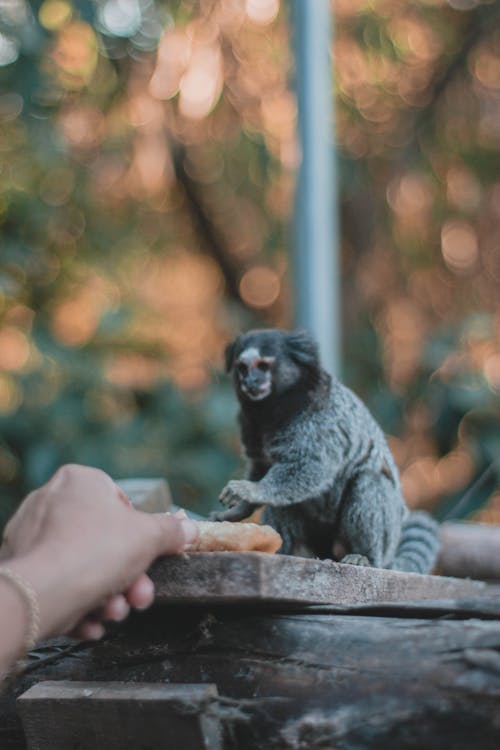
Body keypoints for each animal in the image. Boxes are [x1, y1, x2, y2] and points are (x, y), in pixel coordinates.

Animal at [213, 328, 440, 576]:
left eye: (263, 366)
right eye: (242, 368)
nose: (250, 381)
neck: (272, 408)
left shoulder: (318, 421)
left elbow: (310, 467)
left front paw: (249, 490)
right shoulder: (251, 428)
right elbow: (262, 468)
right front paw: (240, 509)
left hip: (386, 535)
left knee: (369, 482)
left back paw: (365, 556)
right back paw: (295, 551)